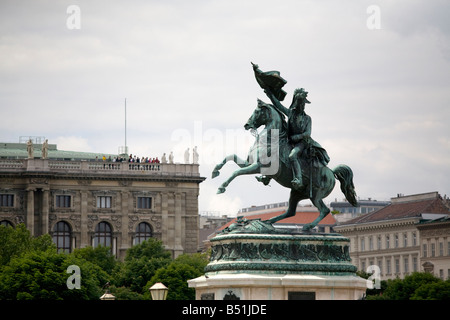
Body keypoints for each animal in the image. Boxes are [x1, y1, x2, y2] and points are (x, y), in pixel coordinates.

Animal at [212, 99, 358, 231]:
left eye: (257, 111)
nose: (247, 124)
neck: (269, 140)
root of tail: (331, 172)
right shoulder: (248, 163)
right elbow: (230, 156)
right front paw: (215, 171)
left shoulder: (257, 166)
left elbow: (235, 173)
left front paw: (221, 187)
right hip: (296, 193)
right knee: (291, 212)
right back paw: (269, 221)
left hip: (316, 195)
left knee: (324, 210)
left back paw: (307, 226)